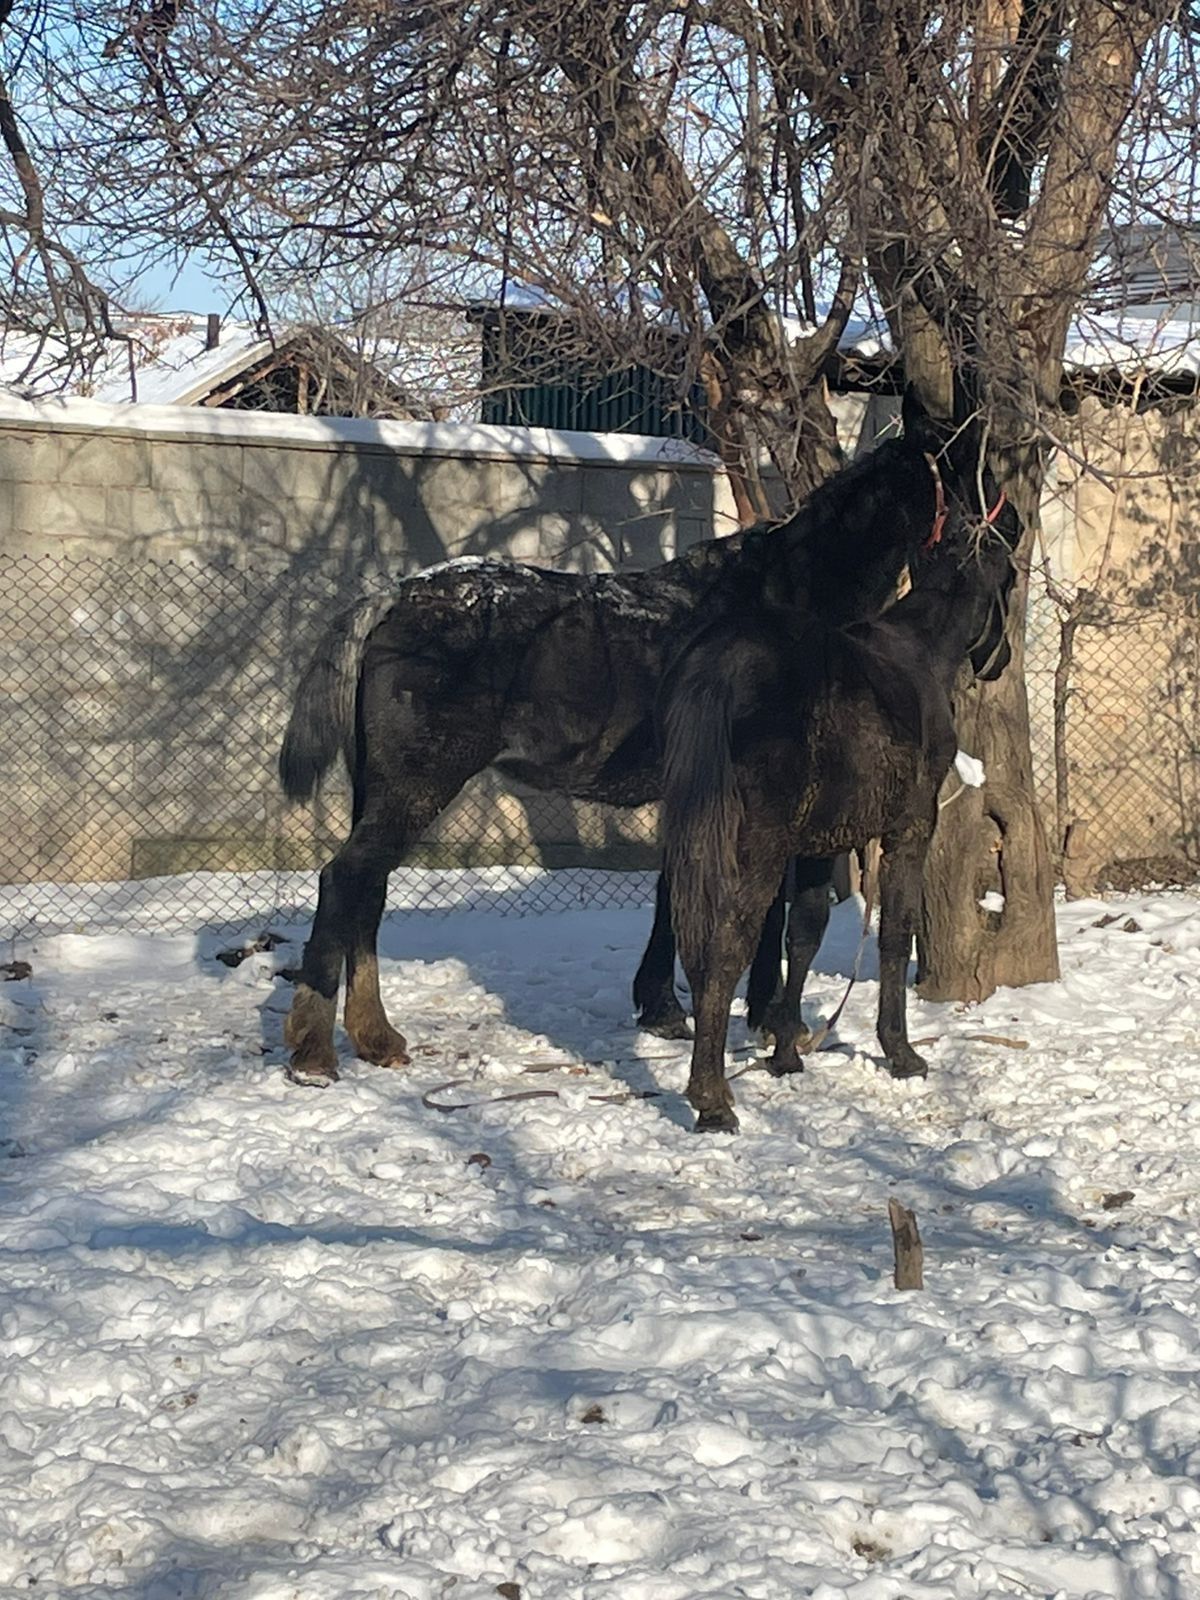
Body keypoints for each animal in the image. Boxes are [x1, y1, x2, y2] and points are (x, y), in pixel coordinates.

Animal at [281, 435, 960, 1088]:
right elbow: (764, 914)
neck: (789, 598)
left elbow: (672, 896)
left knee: (367, 893)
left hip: (381, 792)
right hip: (416, 786)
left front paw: (664, 1007)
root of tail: (392, 600)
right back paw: (314, 1053)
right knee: (344, 880)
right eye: (946, 473)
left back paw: (376, 1038)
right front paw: (764, 1019)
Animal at [662, 412, 1017, 1139]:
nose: (998, 660)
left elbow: (805, 930)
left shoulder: (818, 846)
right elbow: (896, 933)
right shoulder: (909, 830)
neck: (919, 653)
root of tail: (721, 665)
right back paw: (712, 1098)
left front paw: (787, 1050)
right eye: (1010, 581)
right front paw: (900, 1052)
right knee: (726, 946)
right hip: (756, 849)